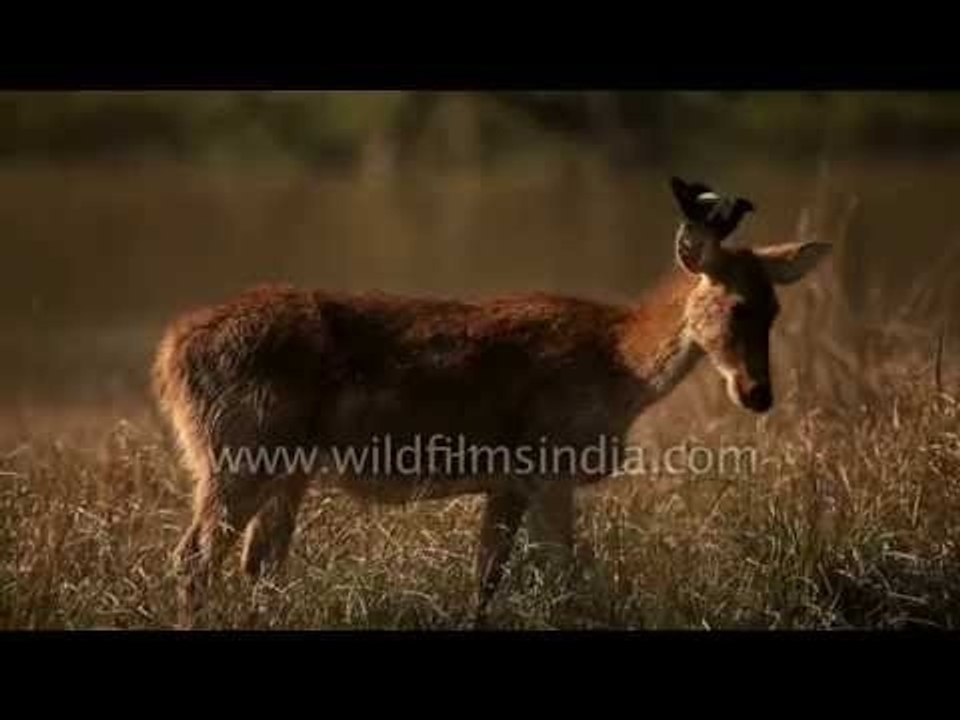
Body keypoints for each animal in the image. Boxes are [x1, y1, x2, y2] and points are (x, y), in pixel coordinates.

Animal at [151, 177, 831, 628]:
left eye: (774, 309)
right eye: (736, 306)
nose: (759, 393)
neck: (622, 371)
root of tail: (169, 353)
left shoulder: (508, 480)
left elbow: (487, 578)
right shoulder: (548, 463)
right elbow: (570, 581)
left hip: (280, 465)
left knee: (258, 562)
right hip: (238, 450)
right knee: (193, 558)